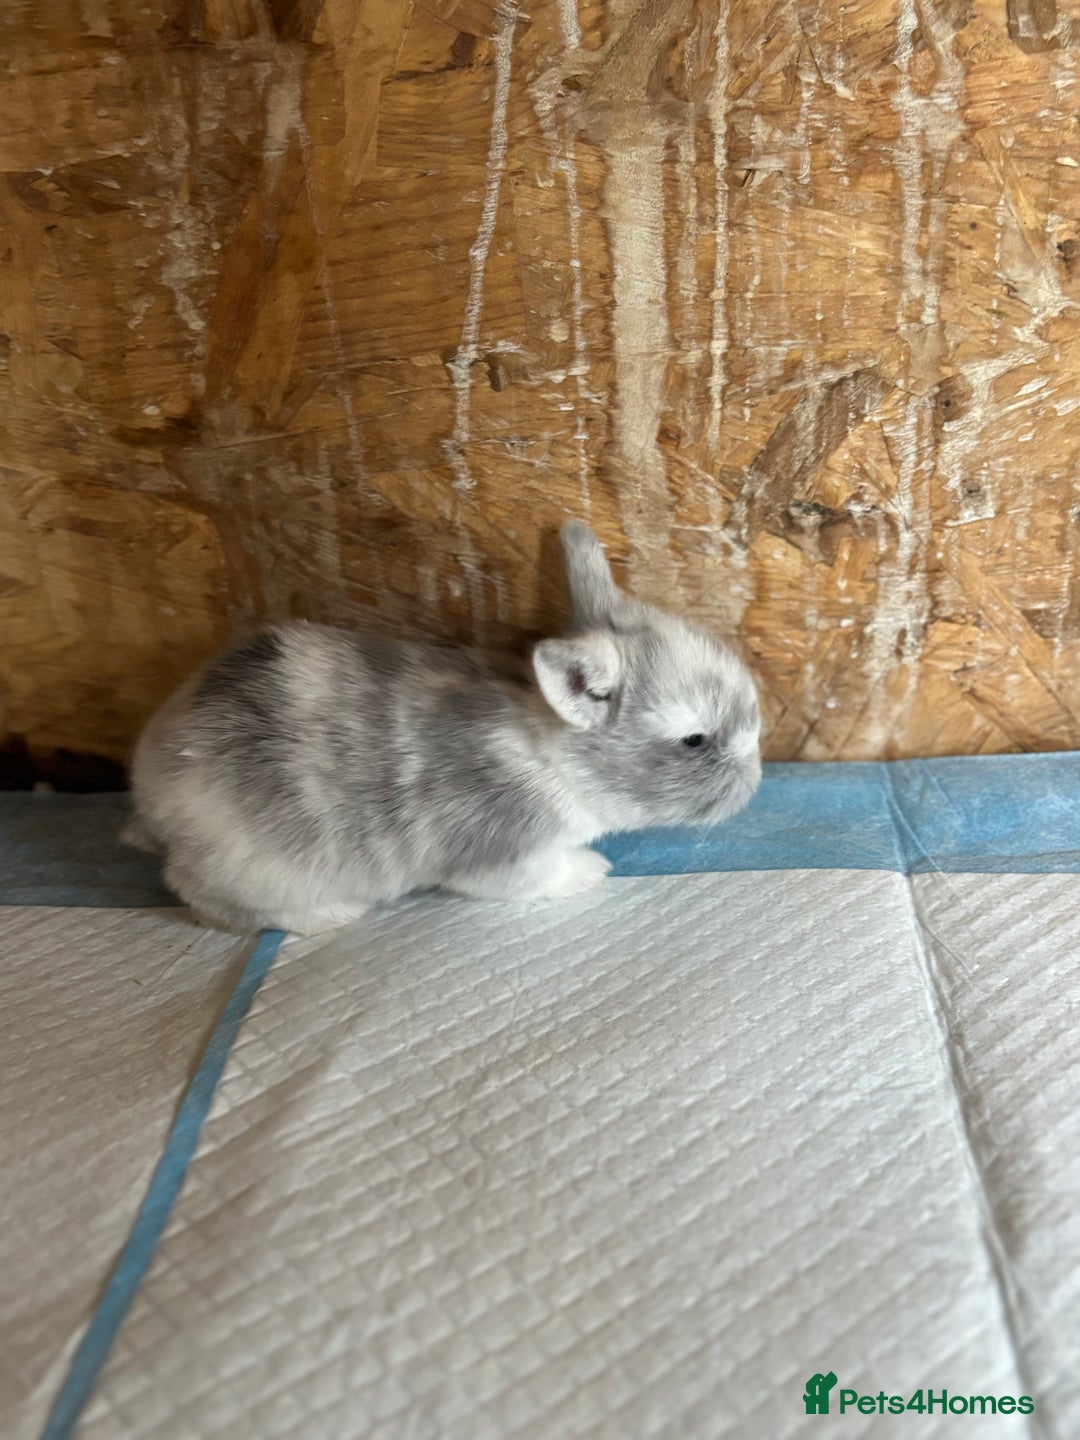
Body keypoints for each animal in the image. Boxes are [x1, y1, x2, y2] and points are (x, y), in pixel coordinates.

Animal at [125, 521, 762, 935]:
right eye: (695, 740)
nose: (756, 778)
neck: (552, 754)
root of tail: (150, 792)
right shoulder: (504, 853)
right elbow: (536, 877)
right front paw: (591, 871)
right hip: (252, 868)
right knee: (199, 894)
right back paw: (329, 917)